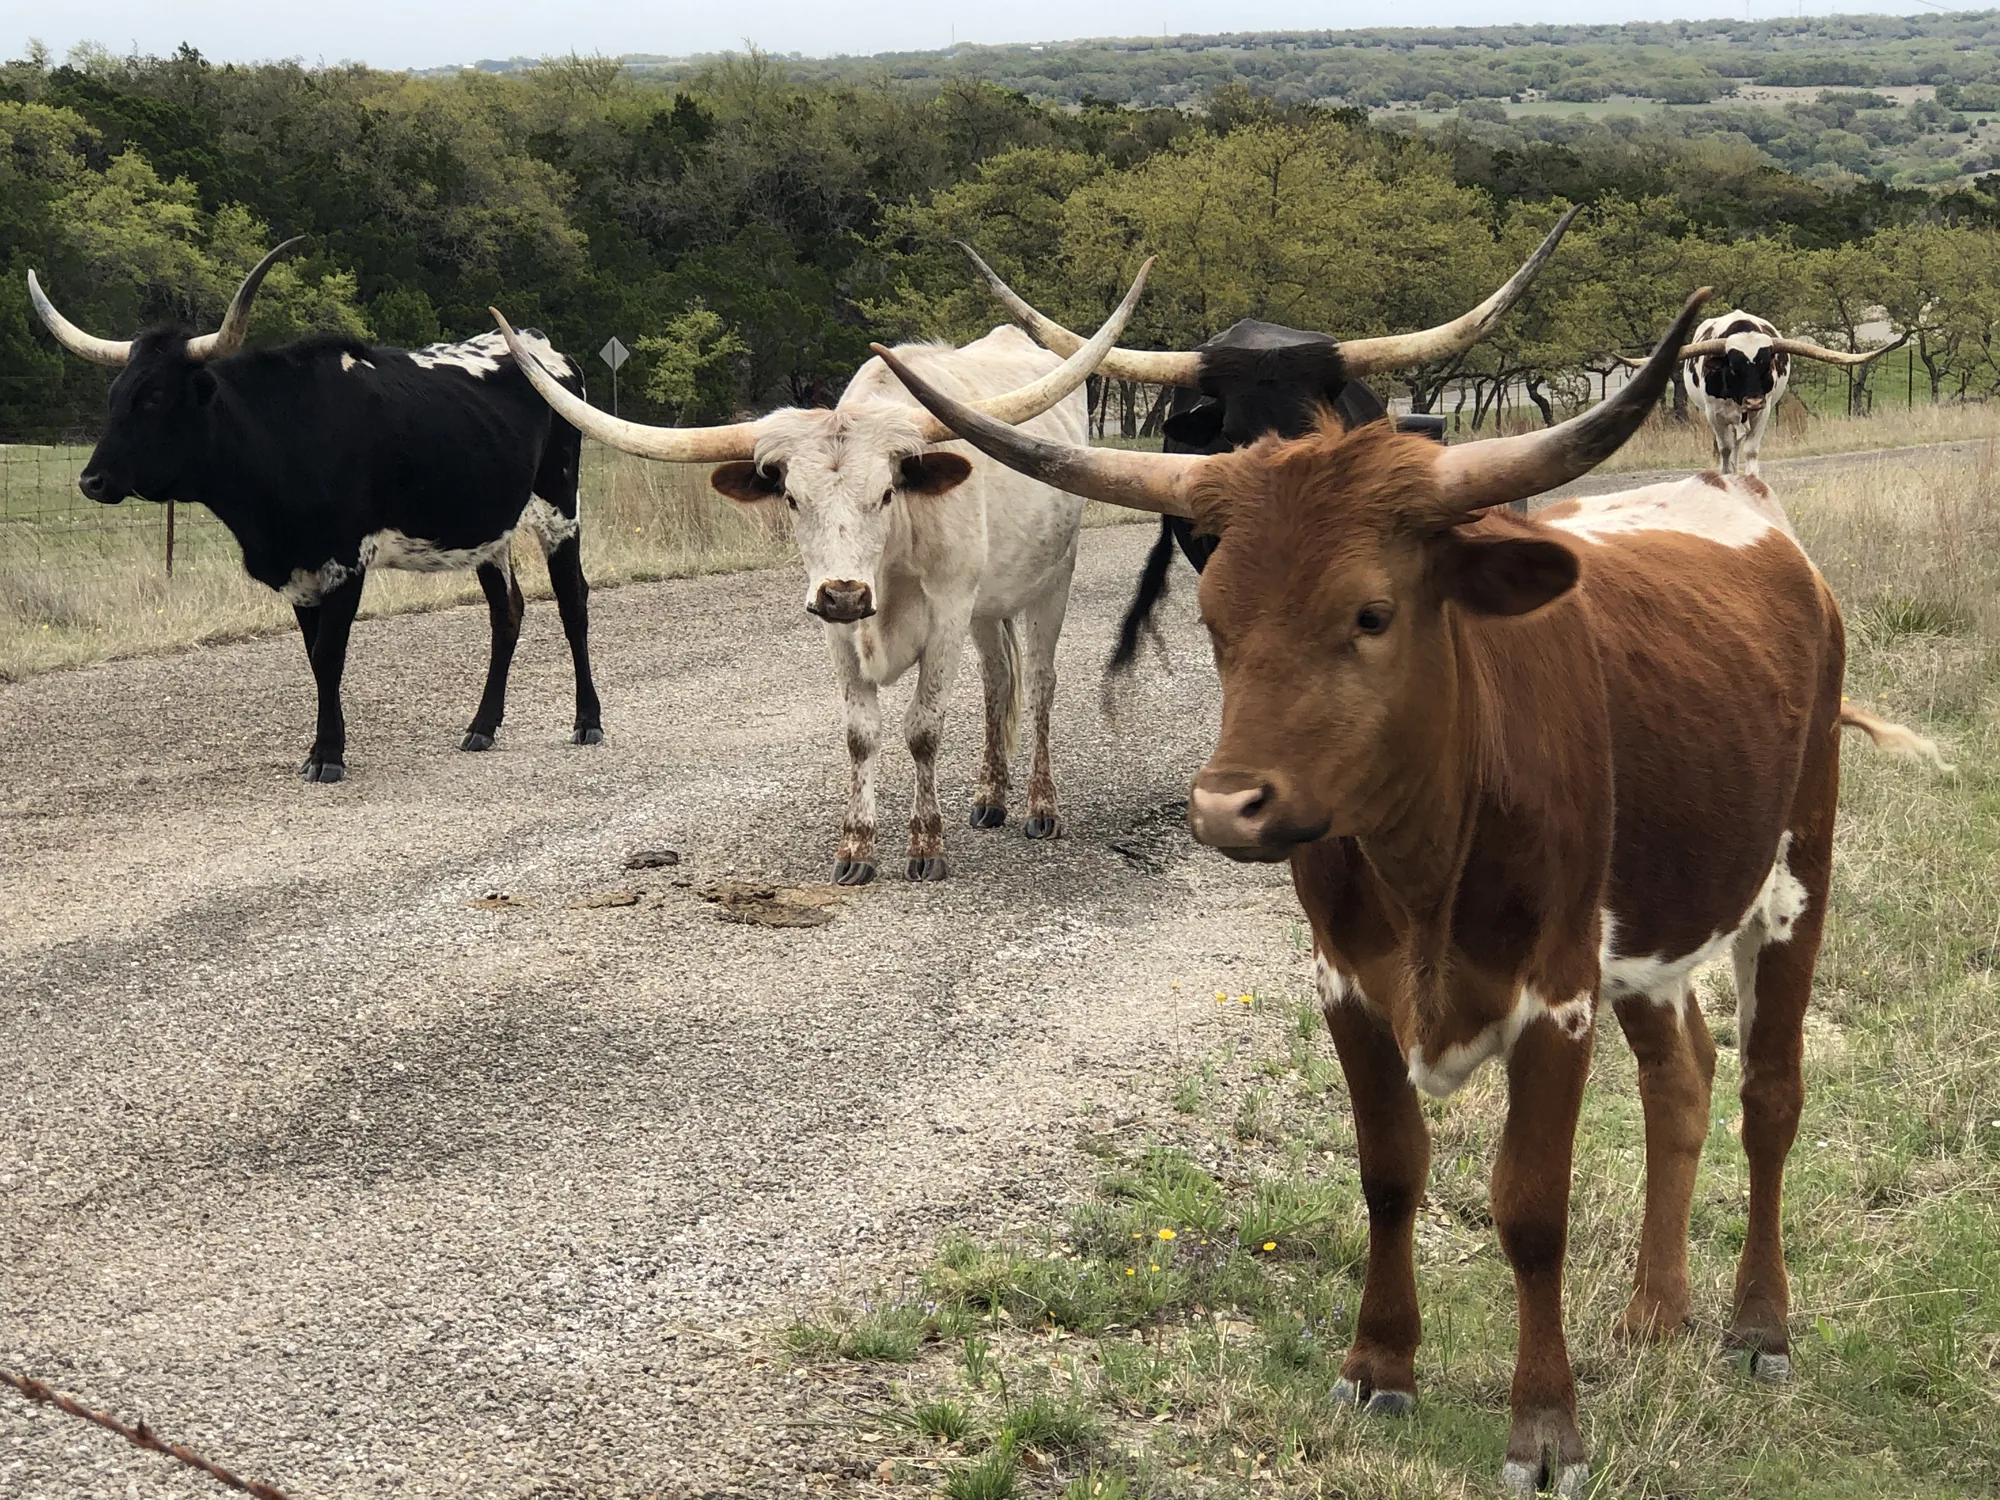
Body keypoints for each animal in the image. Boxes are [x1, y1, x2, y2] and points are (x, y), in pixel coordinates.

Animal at [29, 242, 602, 783]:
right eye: (114, 395)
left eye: (153, 397)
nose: (91, 481)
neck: (281, 435)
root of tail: (537, 344)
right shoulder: (298, 571)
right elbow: (314, 656)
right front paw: (326, 746)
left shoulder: (345, 561)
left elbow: (330, 653)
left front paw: (327, 755)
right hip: (490, 530)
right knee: (506, 612)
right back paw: (482, 726)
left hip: (559, 509)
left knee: (572, 602)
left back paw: (587, 720)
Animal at [490, 262, 1152, 883]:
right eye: (790, 498)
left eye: (887, 492)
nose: (843, 593)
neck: (888, 569)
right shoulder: (841, 629)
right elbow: (861, 732)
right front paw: (856, 848)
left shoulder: (947, 612)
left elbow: (924, 727)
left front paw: (926, 846)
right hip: (988, 605)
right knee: (998, 680)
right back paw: (990, 797)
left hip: (1052, 580)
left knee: (1039, 683)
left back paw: (1042, 806)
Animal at [1616, 309, 1906, 474]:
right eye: (1733, 367)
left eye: (1767, 365)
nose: (1753, 400)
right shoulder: (1714, 415)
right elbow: (1724, 451)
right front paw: (1727, 477)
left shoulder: (1763, 412)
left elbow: (1751, 452)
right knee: (1729, 447)